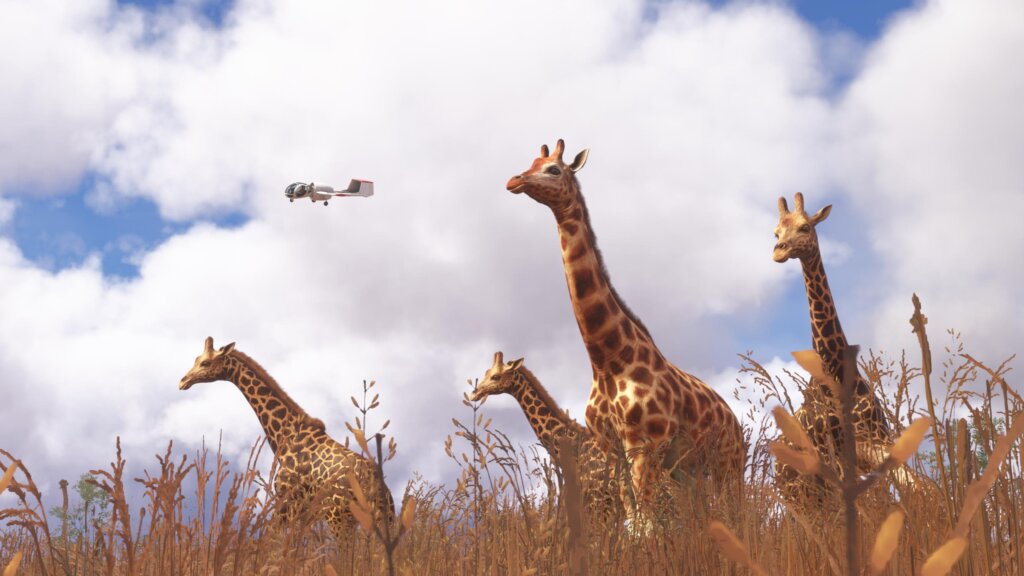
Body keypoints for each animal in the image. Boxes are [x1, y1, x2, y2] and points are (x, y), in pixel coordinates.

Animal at [178, 336, 393, 537]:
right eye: (196, 359)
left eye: (205, 363)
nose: (182, 381)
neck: (285, 435)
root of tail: (374, 485)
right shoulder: (304, 511)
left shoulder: (286, 501)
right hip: (380, 517)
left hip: (339, 518)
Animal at [503, 139, 745, 524]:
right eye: (531, 163)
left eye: (554, 169)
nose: (514, 181)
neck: (606, 359)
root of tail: (736, 422)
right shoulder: (613, 450)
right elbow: (633, 523)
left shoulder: (644, 444)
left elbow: (644, 525)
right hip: (690, 469)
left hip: (729, 464)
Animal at [770, 193, 892, 498]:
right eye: (775, 232)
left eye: (805, 227)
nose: (778, 252)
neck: (836, 372)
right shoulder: (837, 460)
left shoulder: (878, 442)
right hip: (798, 495)